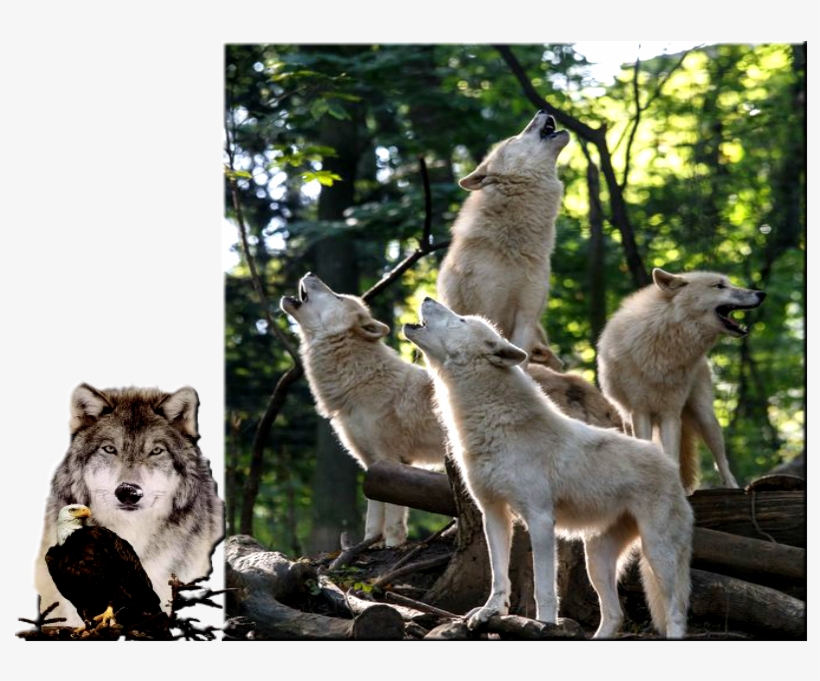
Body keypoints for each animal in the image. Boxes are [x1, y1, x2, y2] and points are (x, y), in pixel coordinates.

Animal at [280, 273, 446, 547]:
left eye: (338, 296)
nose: (310, 274)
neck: (361, 380)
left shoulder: (391, 459)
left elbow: (393, 515)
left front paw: (393, 545)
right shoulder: (371, 464)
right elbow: (373, 514)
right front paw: (369, 544)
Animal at [404, 298, 693, 638]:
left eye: (461, 320)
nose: (426, 299)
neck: (493, 424)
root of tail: (670, 467)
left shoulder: (540, 519)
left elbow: (543, 588)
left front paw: (542, 626)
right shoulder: (493, 513)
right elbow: (498, 576)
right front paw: (489, 612)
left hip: (657, 553)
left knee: (675, 611)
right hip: (597, 559)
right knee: (614, 615)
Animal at [597, 268, 766, 492]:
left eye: (728, 283)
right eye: (719, 286)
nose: (761, 293)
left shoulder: (670, 413)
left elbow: (672, 455)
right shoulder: (640, 411)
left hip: (705, 417)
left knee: (721, 458)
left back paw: (732, 486)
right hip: (627, 420)